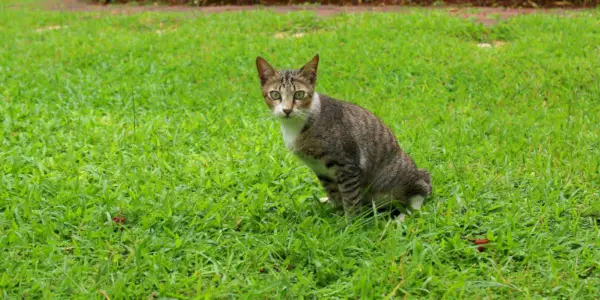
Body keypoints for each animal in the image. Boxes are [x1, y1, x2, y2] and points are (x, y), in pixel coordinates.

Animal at [253, 54, 432, 218]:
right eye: (275, 95)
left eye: (299, 94)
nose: (287, 110)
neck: (297, 125)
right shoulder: (322, 172)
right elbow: (336, 195)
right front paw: (337, 215)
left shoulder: (347, 166)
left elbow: (351, 199)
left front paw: (351, 225)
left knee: (421, 190)